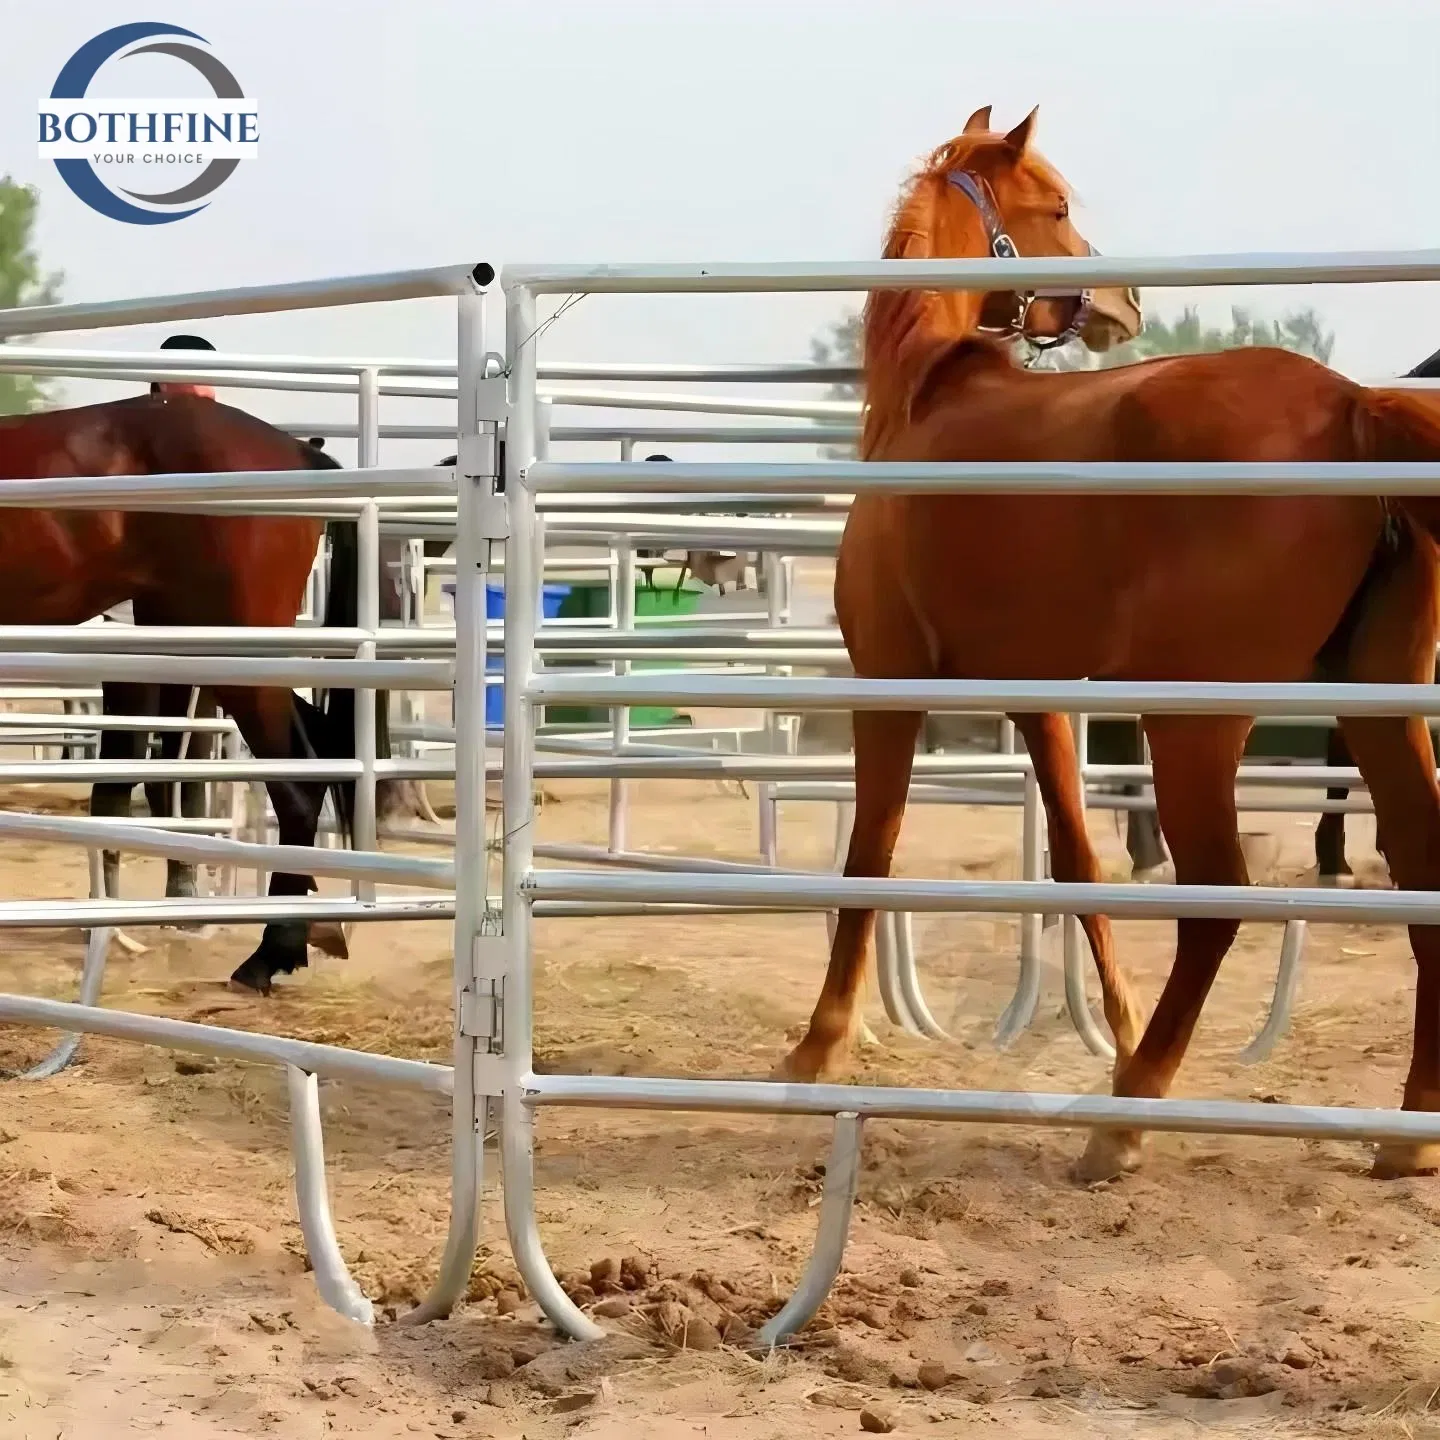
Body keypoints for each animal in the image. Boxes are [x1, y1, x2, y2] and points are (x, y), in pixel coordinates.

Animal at [777, 105, 1440, 1186]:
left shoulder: (889, 680)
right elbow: (1081, 864)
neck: (930, 399)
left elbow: (870, 854)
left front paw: (818, 1044)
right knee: (1420, 863)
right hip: (1373, 699)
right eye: (1054, 207)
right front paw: (1117, 1026)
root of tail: (1349, 406)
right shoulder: (1039, 698)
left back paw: (1125, 1118)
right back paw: (1408, 1128)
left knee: (1218, 898)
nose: (1125, 301)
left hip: (1194, 722)